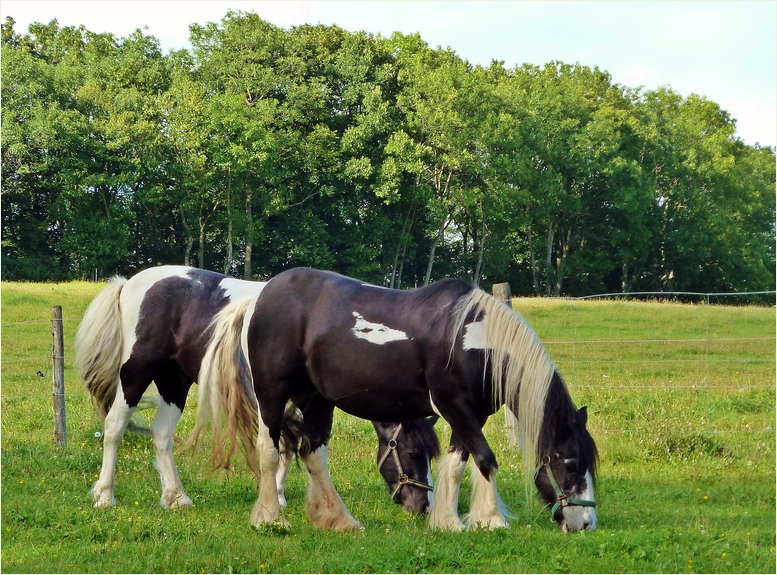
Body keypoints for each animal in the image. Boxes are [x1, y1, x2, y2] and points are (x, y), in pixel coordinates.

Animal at [76, 268, 440, 516]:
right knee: (114, 427)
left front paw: (277, 495)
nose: (423, 505)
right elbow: (280, 446)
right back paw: (105, 495)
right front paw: (273, 501)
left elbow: (288, 447)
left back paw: (176, 497)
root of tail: (129, 283)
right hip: (136, 374)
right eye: (412, 453)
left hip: (174, 382)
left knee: (161, 435)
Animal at [197, 268, 596, 532]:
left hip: (317, 399)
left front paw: (449, 521)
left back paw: (339, 520)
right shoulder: (455, 407)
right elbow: (486, 459)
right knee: (269, 451)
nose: (586, 522)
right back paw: (270, 519)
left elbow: (459, 462)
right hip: (272, 396)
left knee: (313, 453)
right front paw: (492, 519)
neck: (473, 340)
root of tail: (257, 299)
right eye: (571, 463)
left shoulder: (470, 414)